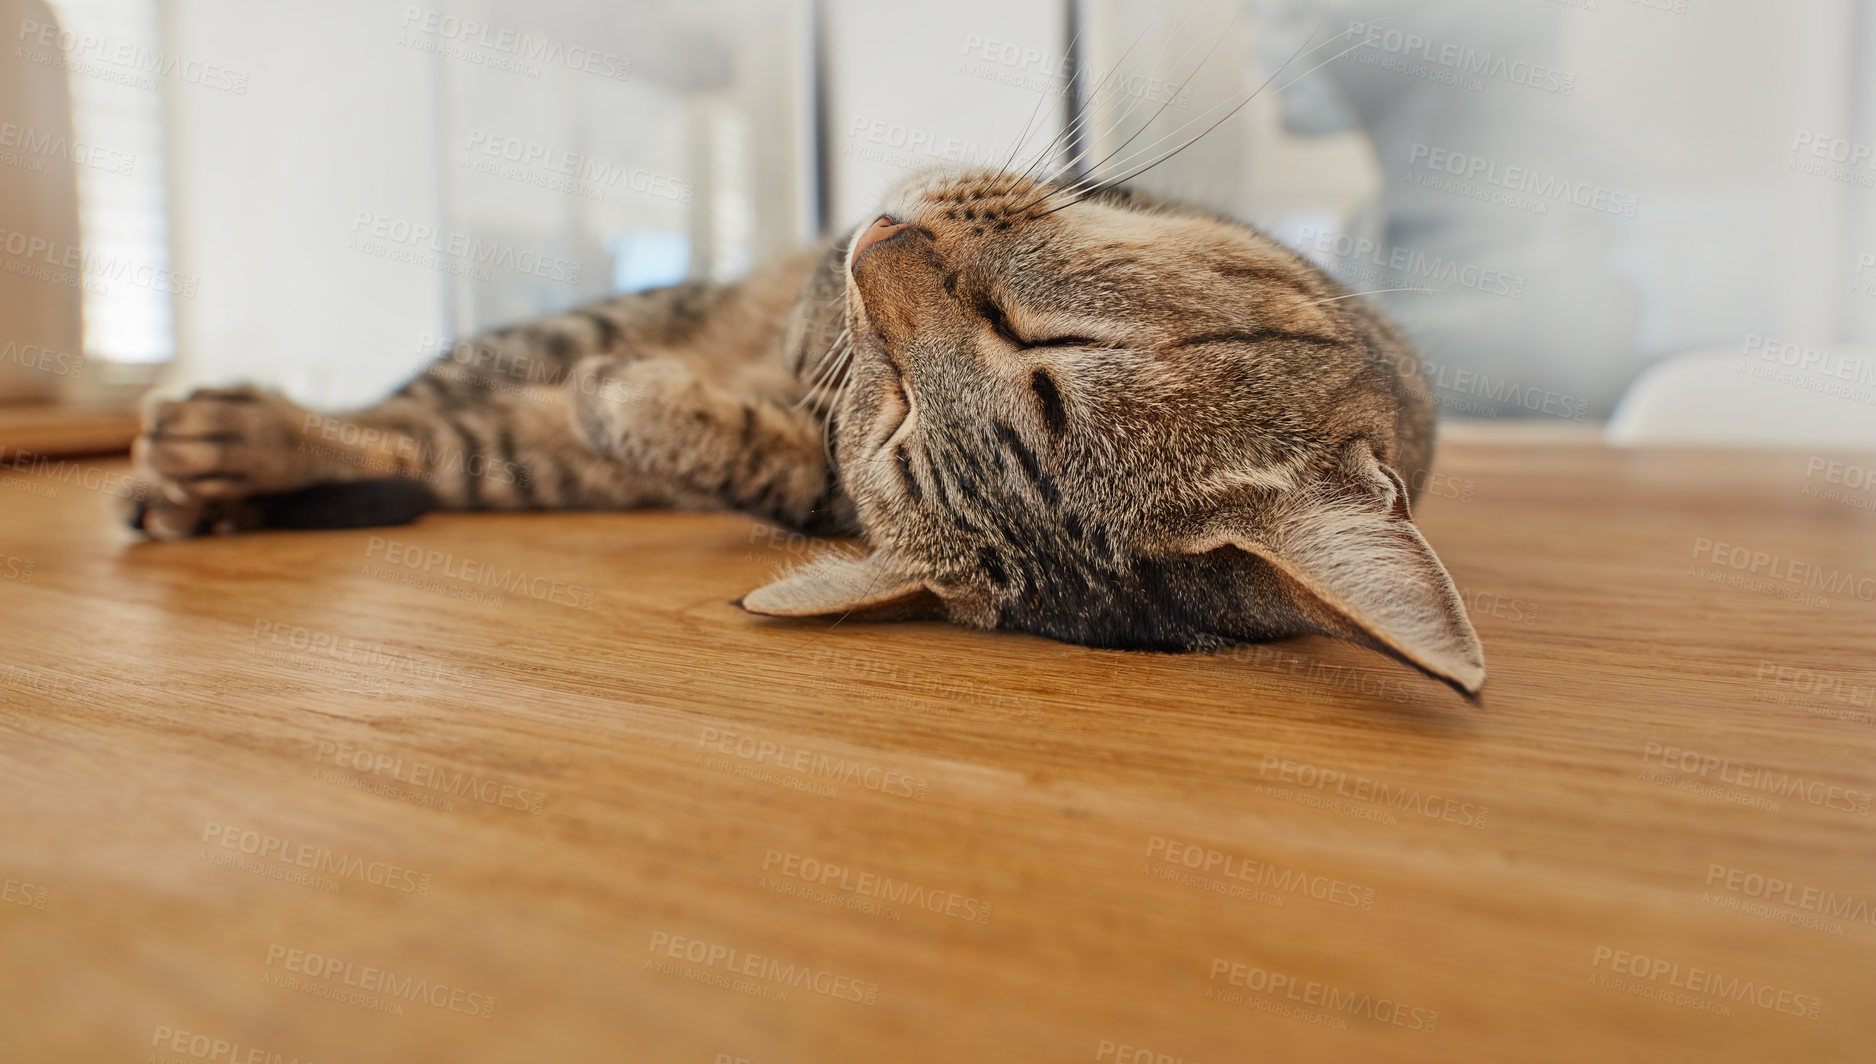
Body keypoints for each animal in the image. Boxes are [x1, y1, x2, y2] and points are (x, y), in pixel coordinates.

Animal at [124, 167, 1485, 698]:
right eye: (1056, 346)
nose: (876, 246)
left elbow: (771, 459)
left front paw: (660, 407)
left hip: (512, 446)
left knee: (428, 443)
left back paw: (221, 468)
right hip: (553, 325)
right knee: (395, 410)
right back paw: (219, 455)